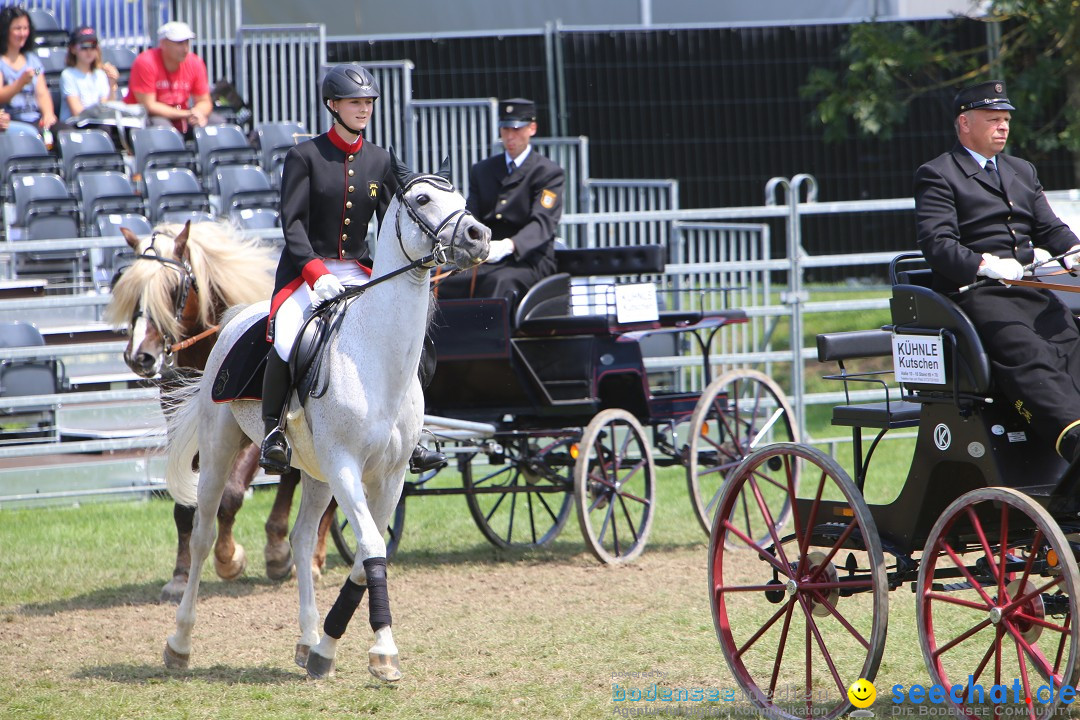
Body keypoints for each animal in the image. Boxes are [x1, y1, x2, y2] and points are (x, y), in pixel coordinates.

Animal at [105, 221, 334, 604]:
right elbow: (186, 503)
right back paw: (279, 549)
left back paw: (307, 559)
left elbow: (230, 495)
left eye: (172, 288)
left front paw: (228, 558)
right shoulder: (187, 431)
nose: (141, 356)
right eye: (129, 287)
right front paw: (181, 575)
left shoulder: (259, 434)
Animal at [158, 157, 490, 682]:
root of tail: (236, 317)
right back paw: (179, 643)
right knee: (205, 534)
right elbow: (371, 545)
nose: (479, 235)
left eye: (460, 199)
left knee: (298, 538)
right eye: (423, 200)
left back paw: (306, 638)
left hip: (314, 472)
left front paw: (329, 648)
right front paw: (382, 651)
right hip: (220, 450)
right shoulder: (345, 465)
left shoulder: (389, 476)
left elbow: (365, 553)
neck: (375, 356)